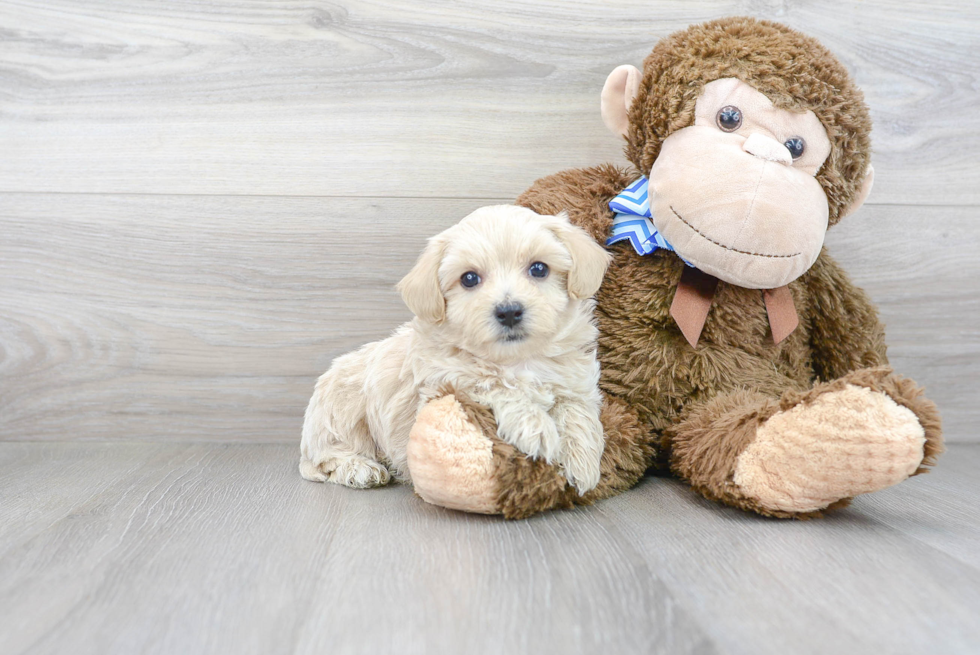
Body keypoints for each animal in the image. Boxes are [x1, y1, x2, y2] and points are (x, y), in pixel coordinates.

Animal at [298, 205, 608, 492]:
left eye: (539, 268)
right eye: (469, 278)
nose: (508, 312)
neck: (516, 360)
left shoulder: (575, 382)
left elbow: (577, 412)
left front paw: (583, 464)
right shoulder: (441, 386)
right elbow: (493, 384)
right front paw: (535, 426)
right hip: (341, 413)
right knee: (327, 457)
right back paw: (360, 468)